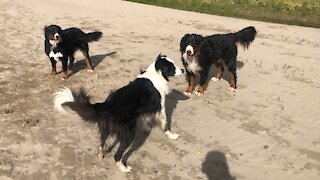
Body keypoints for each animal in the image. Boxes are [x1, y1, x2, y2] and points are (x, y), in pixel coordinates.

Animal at [53, 54, 184, 172]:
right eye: (172, 66)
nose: (183, 69)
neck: (156, 73)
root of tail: (108, 105)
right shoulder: (160, 107)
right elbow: (165, 123)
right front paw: (171, 135)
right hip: (128, 133)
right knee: (117, 155)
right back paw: (123, 168)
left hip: (105, 129)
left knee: (101, 143)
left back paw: (101, 155)